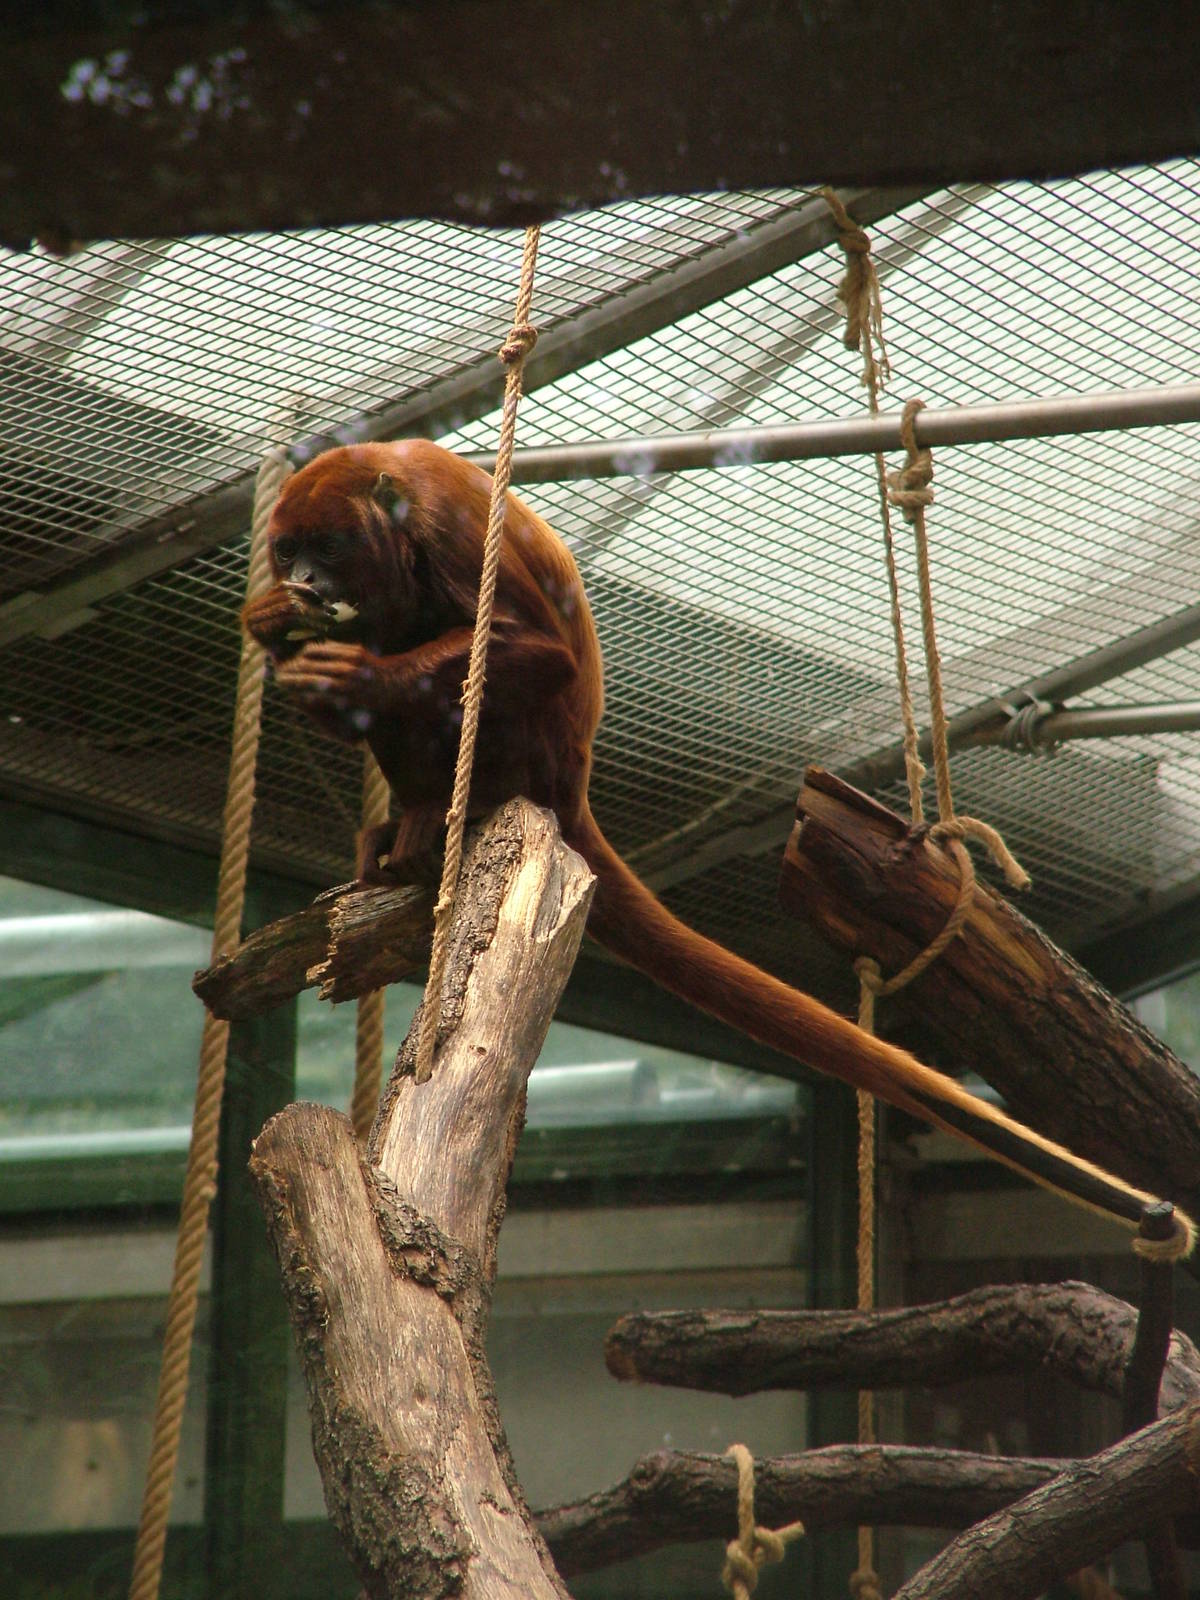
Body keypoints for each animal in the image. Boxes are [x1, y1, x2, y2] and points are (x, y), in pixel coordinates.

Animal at [242, 438, 1192, 1253]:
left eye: (326, 546)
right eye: (288, 552)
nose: (305, 581)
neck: (392, 514)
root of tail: (569, 785)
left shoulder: (449, 529)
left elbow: (536, 649)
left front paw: (354, 670)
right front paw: (270, 620)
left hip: (527, 752)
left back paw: (443, 811)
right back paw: (403, 825)